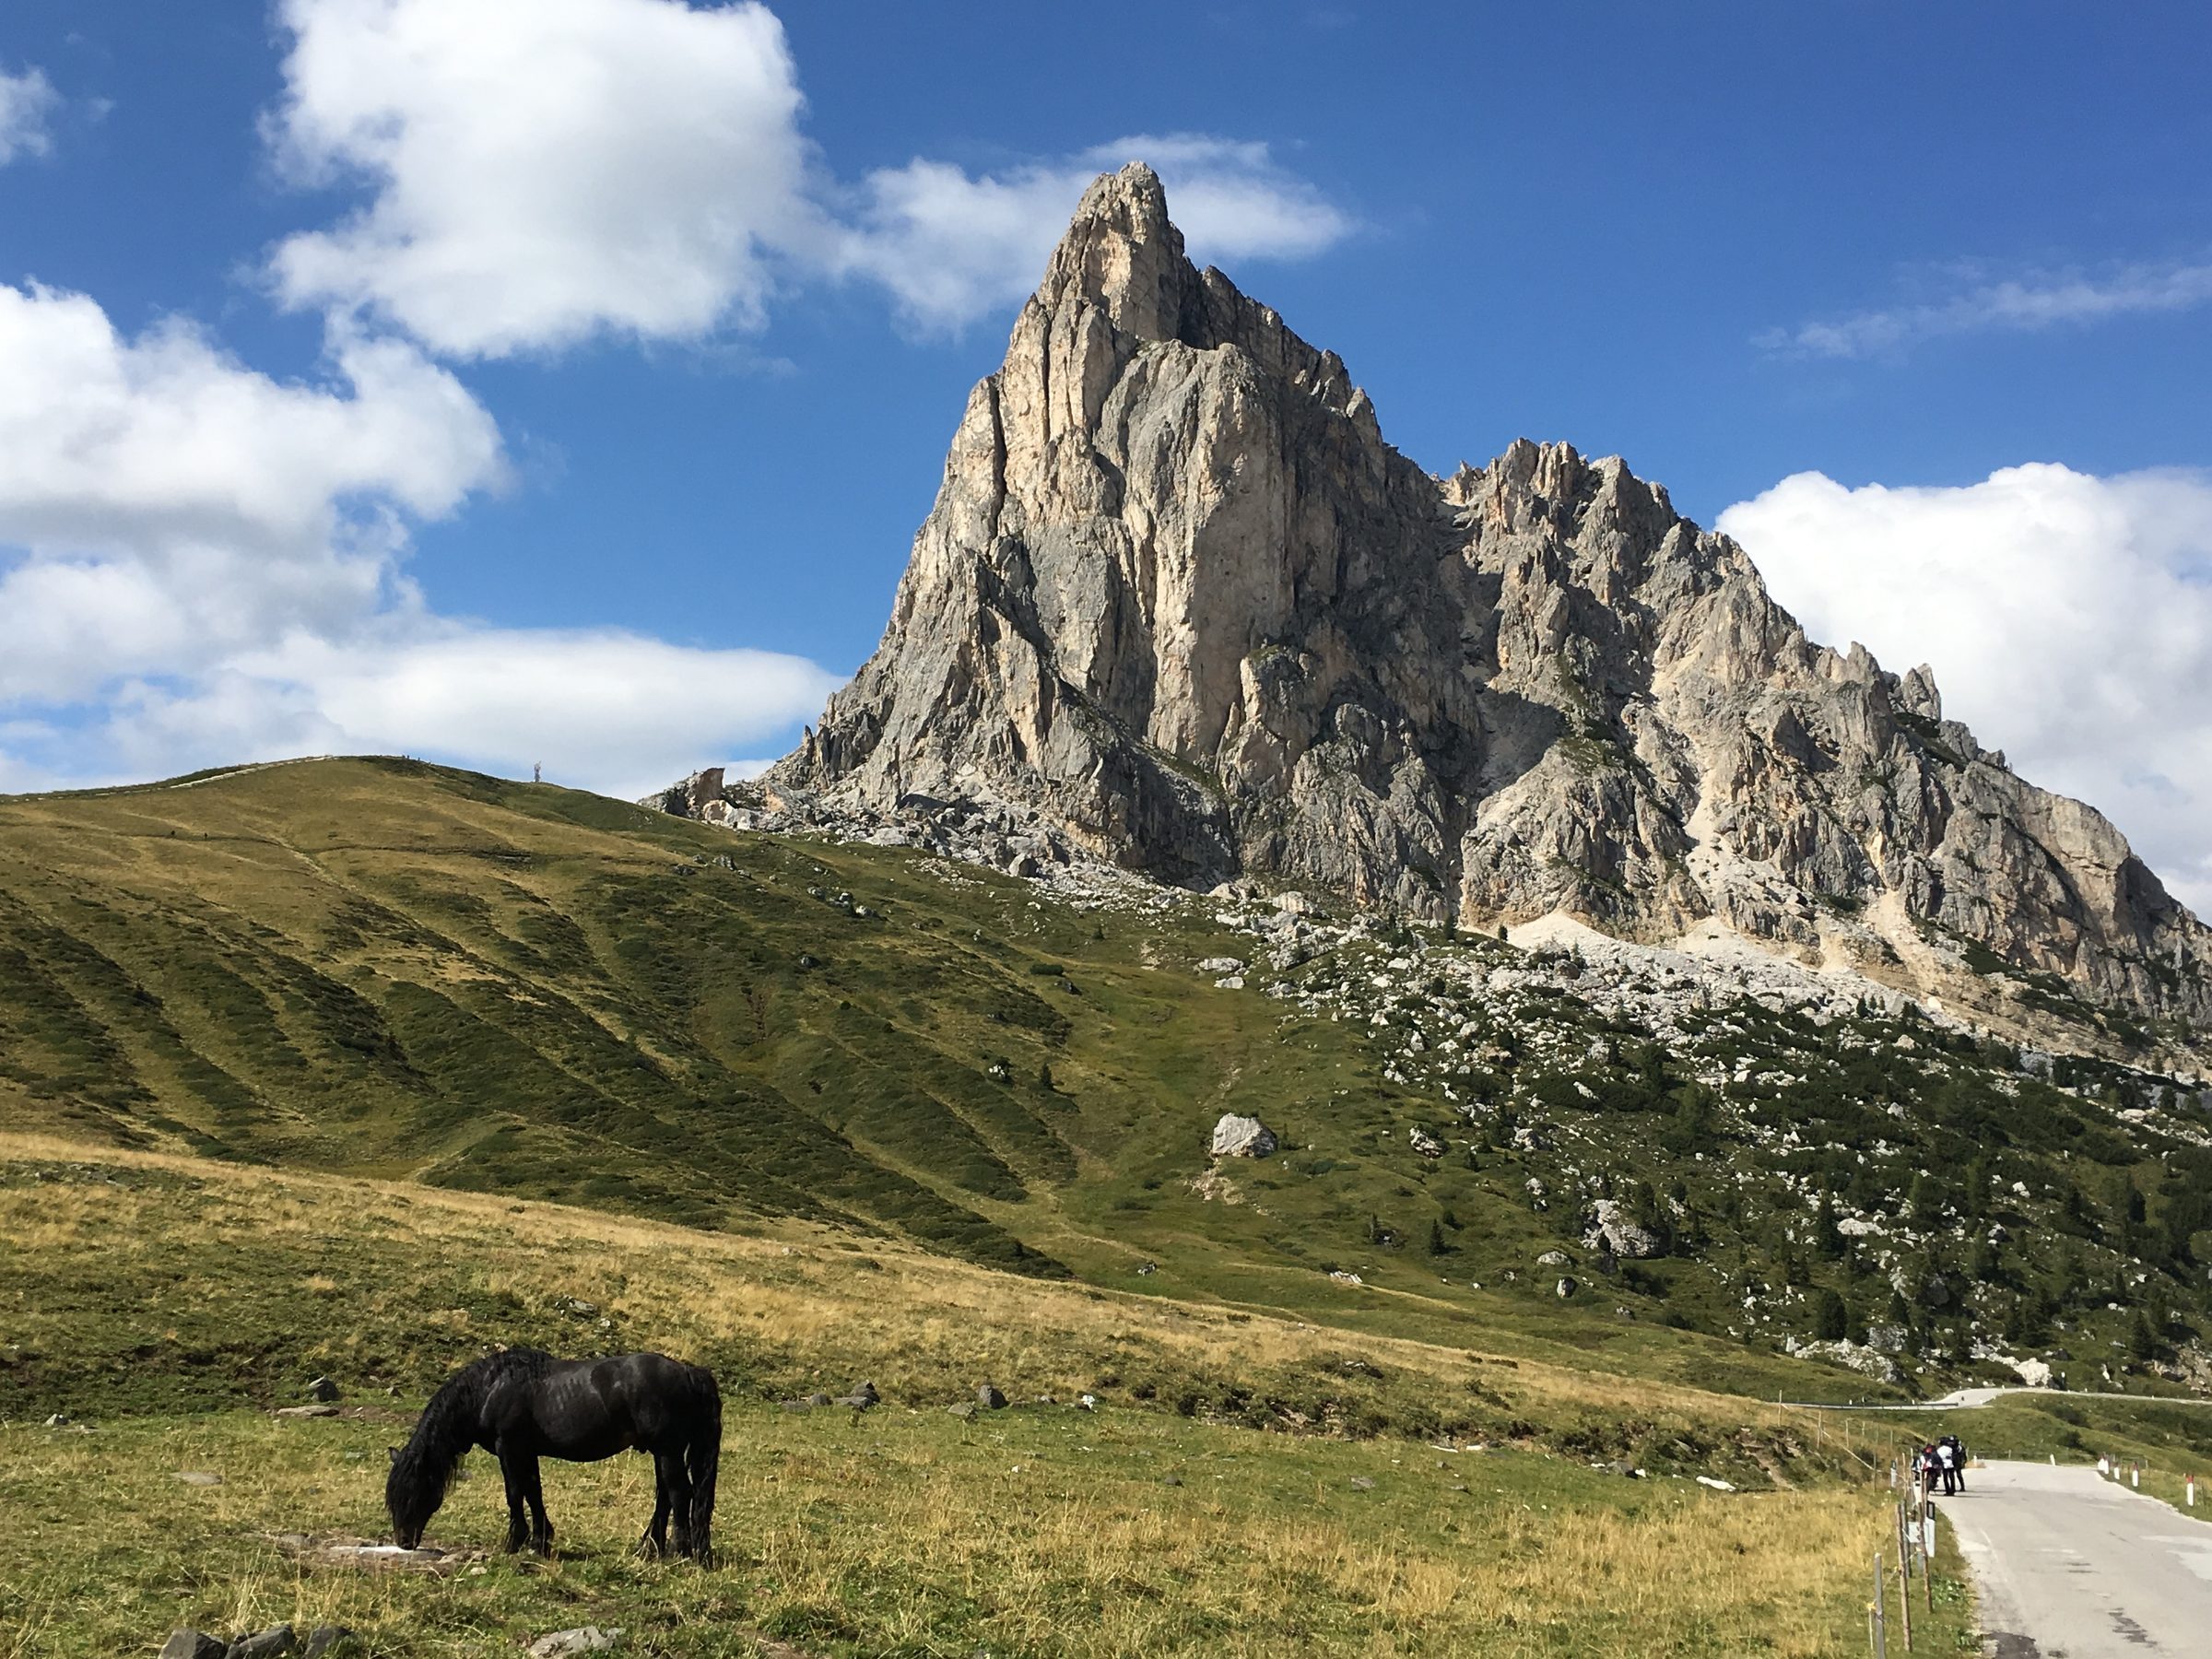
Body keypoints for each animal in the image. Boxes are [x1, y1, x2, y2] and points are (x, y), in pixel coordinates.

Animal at [386, 1348, 720, 1563]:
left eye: (414, 1493)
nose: (404, 1541)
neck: (490, 1389)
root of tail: (688, 1372)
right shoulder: (526, 1451)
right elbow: (534, 1492)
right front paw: (540, 1541)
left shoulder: (508, 1448)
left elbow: (515, 1492)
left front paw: (515, 1541)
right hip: (662, 1451)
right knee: (665, 1496)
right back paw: (649, 1548)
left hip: (667, 1450)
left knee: (680, 1494)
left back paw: (680, 1551)